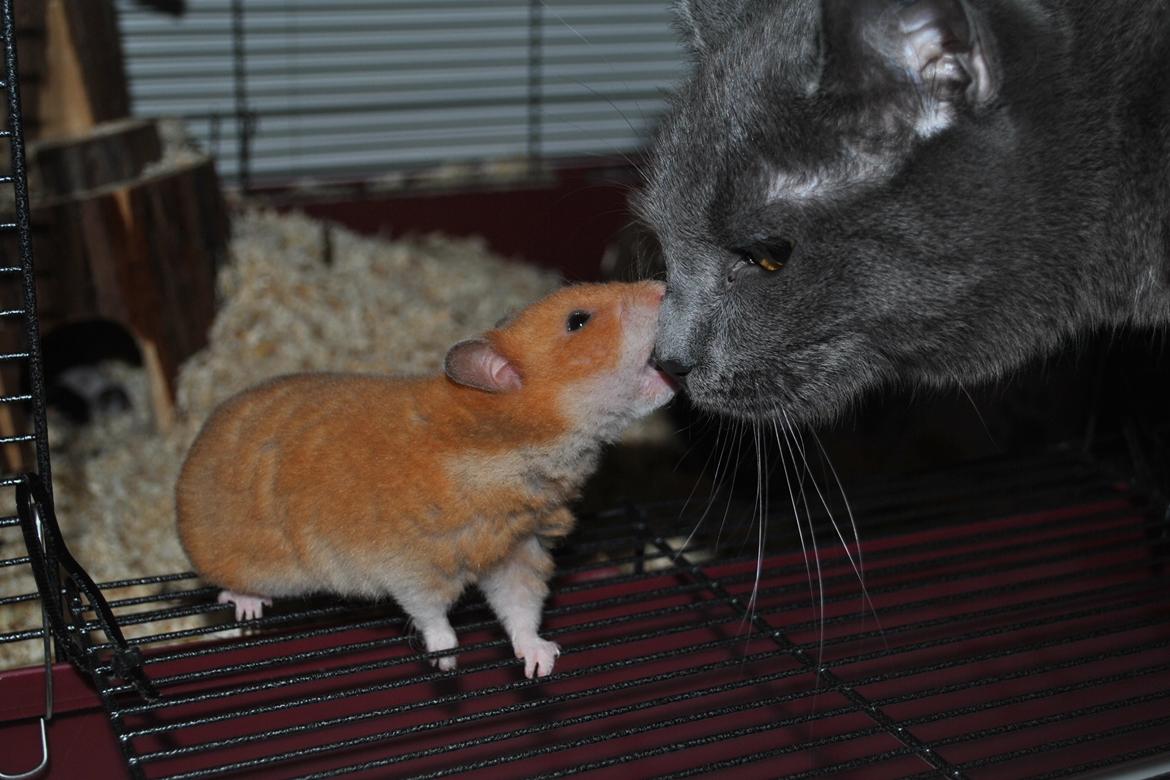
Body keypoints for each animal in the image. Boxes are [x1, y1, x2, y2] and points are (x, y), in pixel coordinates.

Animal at [176, 281, 675, 678]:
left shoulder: (515, 551)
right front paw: (448, 660)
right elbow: (431, 614)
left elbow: (521, 611)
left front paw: (541, 662)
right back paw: (247, 605)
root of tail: (189, 464)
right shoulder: (414, 563)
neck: (508, 445)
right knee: (228, 586)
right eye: (577, 321)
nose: (663, 286)